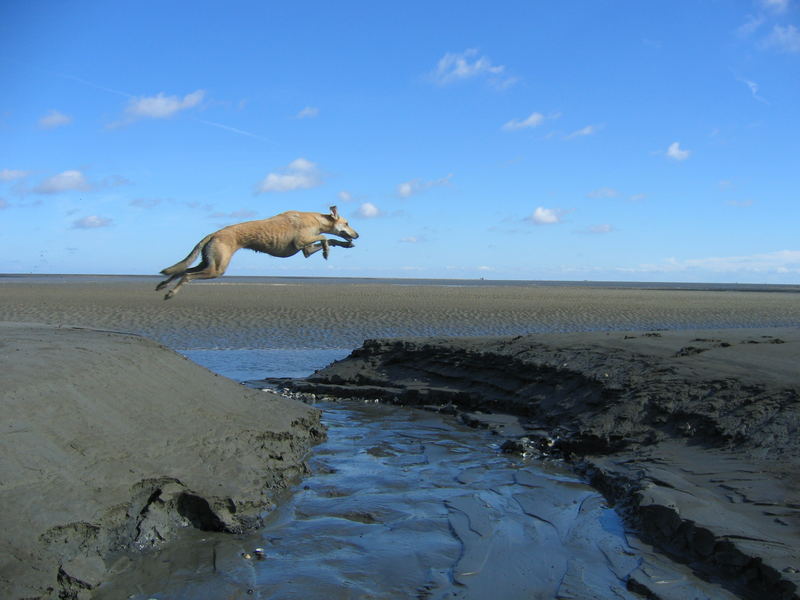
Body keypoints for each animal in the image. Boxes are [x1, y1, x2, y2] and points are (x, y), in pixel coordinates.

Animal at [155, 206, 358, 300]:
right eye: (347, 223)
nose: (357, 235)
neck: (315, 219)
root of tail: (214, 233)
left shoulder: (306, 250)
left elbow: (329, 239)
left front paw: (344, 245)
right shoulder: (301, 241)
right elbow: (324, 237)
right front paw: (326, 252)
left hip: (208, 262)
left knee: (183, 270)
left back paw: (163, 285)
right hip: (217, 269)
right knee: (187, 276)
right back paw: (170, 292)